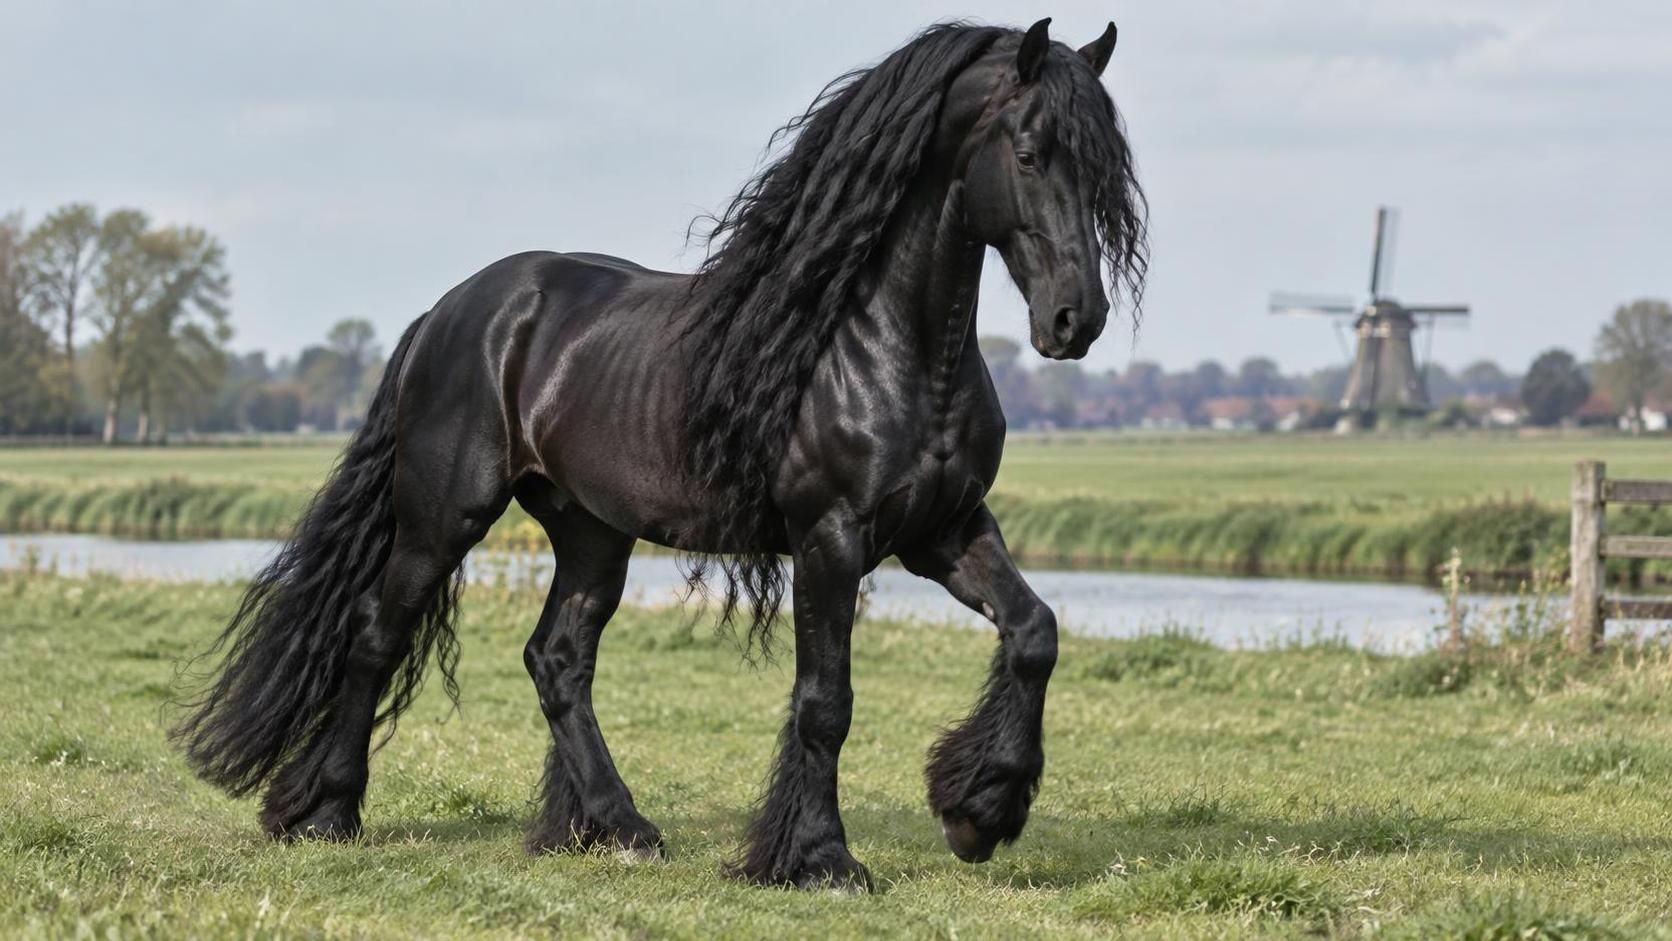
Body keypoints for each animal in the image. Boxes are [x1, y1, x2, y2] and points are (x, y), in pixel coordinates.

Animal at [174, 18, 1146, 892]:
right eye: (1030, 151)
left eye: (1103, 170)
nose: (1076, 319)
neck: (877, 344)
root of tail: (450, 311)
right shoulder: (831, 538)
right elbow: (825, 702)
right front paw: (820, 860)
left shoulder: (943, 529)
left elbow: (1035, 632)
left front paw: (979, 811)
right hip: (443, 514)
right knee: (378, 631)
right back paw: (330, 812)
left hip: (590, 531)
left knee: (557, 659)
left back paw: (616, 828)